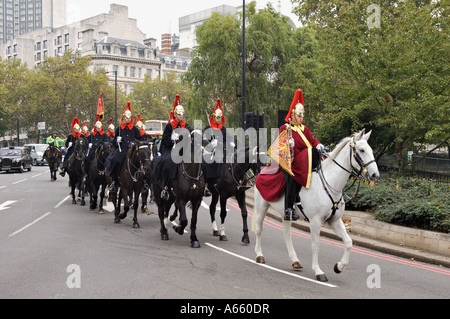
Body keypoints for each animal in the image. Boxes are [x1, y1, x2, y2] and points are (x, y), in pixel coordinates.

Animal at [253, 130, 380, 282]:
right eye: (361, 150)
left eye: (371, 150)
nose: (375, 175)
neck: (330, 185)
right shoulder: (315, 221)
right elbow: (315, 245)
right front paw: (318, 271)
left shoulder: (335, 221)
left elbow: (349, 242)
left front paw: (339, 266)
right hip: (261, 206)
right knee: (259, 230)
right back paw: (259, 255)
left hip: (285, 213)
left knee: (287, 234)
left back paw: (295, 261)